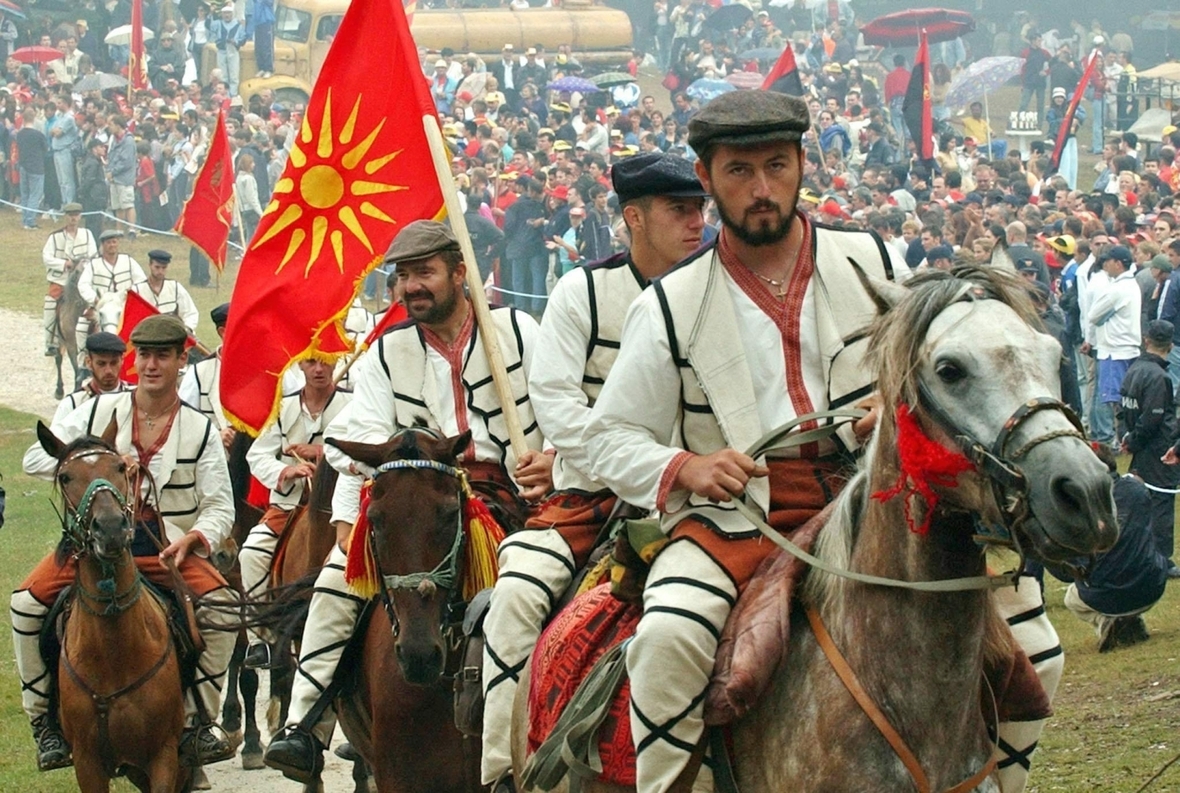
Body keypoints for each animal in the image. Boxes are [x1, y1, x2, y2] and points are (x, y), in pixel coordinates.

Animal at [37, 420, 191, 793]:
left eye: (120, 467)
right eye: (66, 477)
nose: (109, 529)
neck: (114, 652)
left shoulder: (164, 756)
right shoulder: (87, 763)